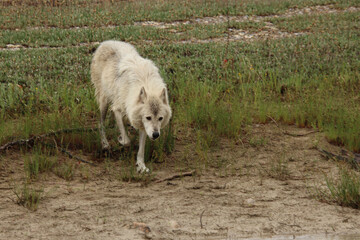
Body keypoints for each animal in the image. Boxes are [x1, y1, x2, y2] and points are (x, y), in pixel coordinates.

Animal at [91, 40, 173, 172]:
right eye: (149, 117)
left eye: (160, 118)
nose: (156, 135)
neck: (145, 83)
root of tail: (105, 42)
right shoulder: (119, 110)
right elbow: (127, 141)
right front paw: (121, 140)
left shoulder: (141, 122)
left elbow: (141, 149)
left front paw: (141, 166)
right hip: (104, 102)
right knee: (100, 124)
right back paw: (105, 145)